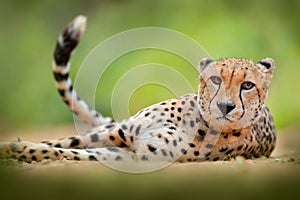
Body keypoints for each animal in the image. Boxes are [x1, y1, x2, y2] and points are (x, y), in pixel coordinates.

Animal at [0, 15, 276, 165]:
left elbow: (71, 152)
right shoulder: (120, 132)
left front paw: (17, 150)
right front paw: (11, 147)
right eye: (216, 80)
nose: (225, 106)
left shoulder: (136, 156)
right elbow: (62, 142)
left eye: (247, 85)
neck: (198, 122)